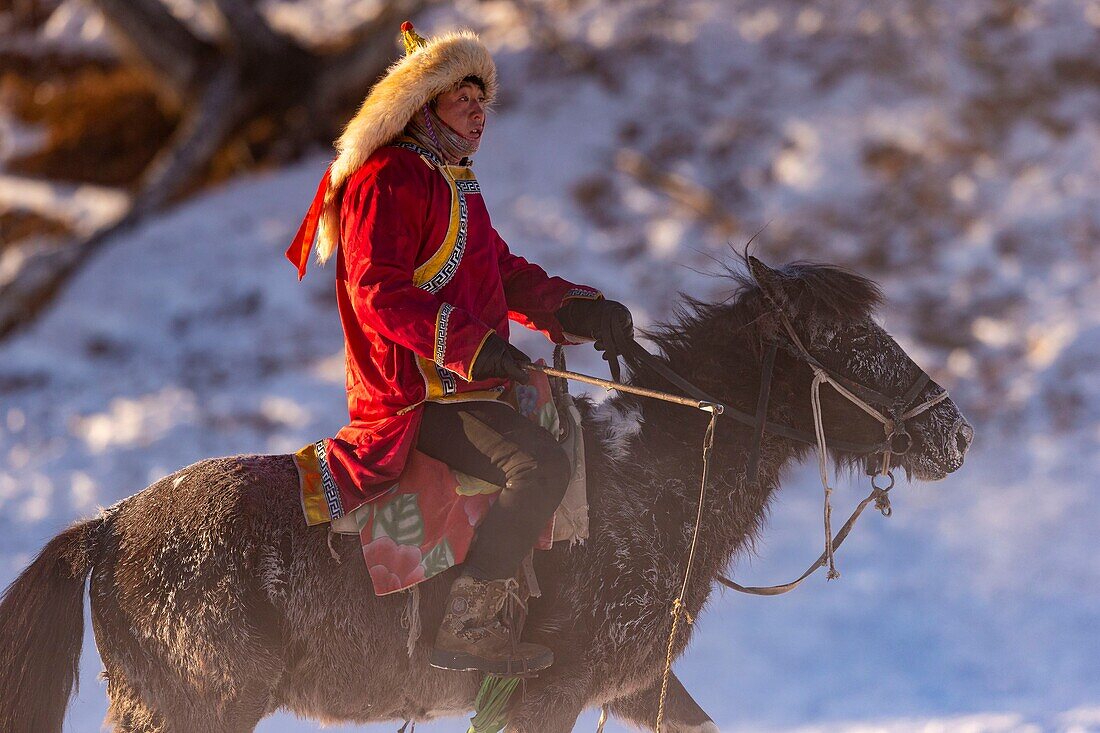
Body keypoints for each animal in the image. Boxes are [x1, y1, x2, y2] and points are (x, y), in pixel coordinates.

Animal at [0, 254, 972, 726]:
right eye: (846, 340)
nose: (953, 432)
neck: (651, 485)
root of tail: (107, 526)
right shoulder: (551, 691)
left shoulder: (635, 685)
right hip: (191, 709)